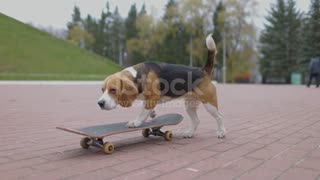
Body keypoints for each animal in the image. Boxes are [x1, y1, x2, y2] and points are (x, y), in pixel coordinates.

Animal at [97, 33, 225, 138]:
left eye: (113, 90)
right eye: (102, 90)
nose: (100, 103)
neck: (137, 75)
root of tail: (203, 71)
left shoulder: (153, 98)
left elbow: (142, 113)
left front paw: (136, 122)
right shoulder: (148, 100)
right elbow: (146, 109)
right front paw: (152, 114)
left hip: (209, 103)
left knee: (219, 116)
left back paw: (221, 132)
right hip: (190, 105)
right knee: (196, 120)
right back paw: (190, 133)